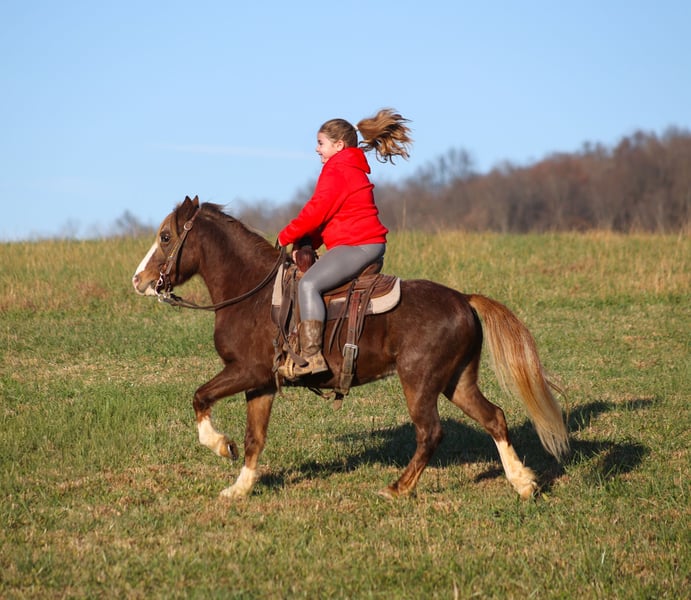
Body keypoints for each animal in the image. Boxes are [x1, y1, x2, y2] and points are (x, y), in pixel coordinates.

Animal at [132, 196, 569, 500]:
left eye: (166, 237)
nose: (139, 280)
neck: (251, 293)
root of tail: (463, 299)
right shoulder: (262, 384)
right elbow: (255, 438)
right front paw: (239, 488)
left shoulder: (246, 372)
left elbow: (200, 397)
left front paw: (221, 446)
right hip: (457, 381)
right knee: (494, 417)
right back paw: (522, 483)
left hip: (420, 382)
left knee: (430, 433)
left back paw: (398, 488)